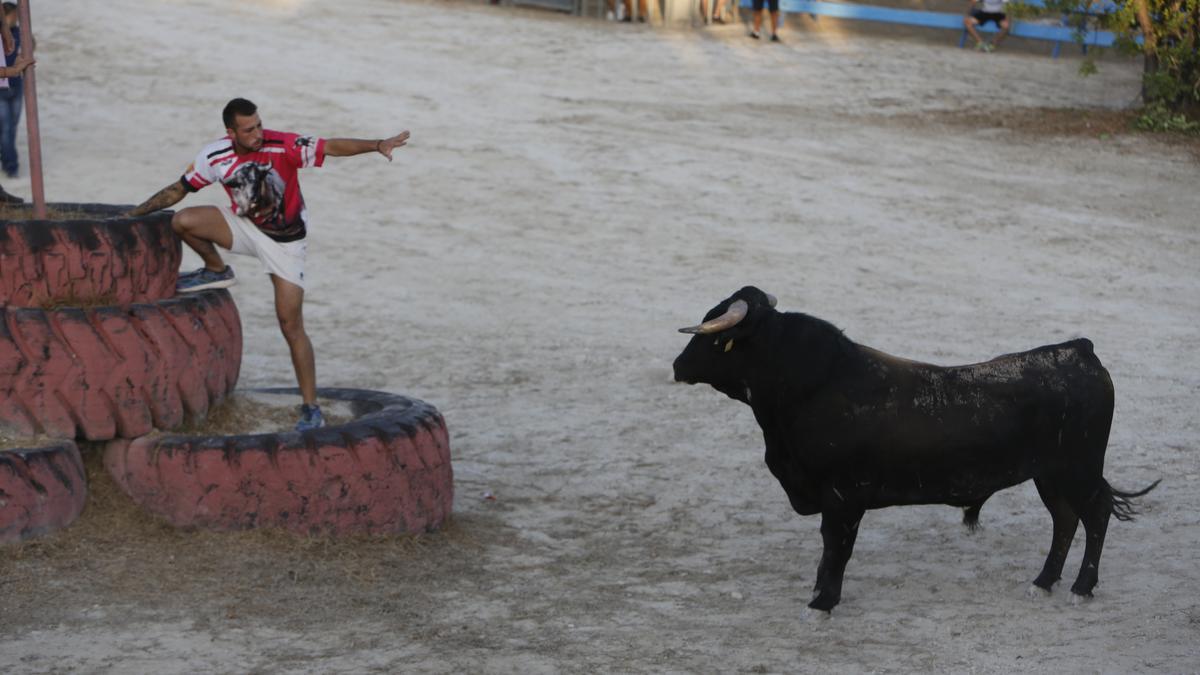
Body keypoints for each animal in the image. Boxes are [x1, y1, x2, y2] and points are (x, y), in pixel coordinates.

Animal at [672, 283, 1156, 610]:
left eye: (712, 336)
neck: (811, 386)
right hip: (1049, 475)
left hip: (1078, 469)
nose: (677, 366)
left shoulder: (843, 498)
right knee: (1065, 519)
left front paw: (822, 602)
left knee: (1095, 515)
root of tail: (1079, 350)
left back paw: (1081, 588)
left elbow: (836, 549)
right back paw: (1043, 581)